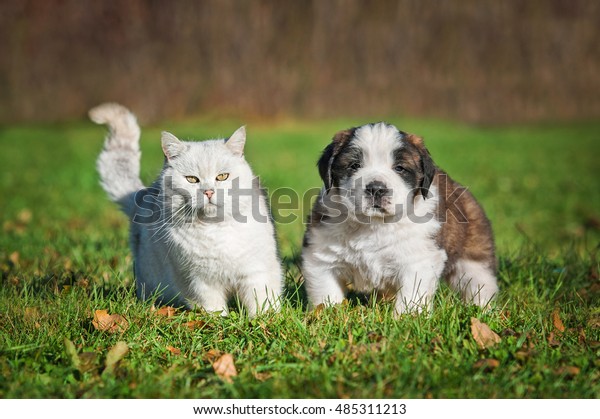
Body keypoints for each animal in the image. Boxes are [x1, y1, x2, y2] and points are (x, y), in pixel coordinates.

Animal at [90, 103, 282, 316]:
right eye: (192, 179)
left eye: (222, 176)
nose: (208, 191)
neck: (215, 230)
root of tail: (143, 195)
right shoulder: (199, 281)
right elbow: (214, 309)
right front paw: (220, 322)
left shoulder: (257, 272)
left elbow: (261, 302)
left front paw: (264, 319)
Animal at [302, 122, 500, 316]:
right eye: (354, 165)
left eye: (399, 168)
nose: (376, 188)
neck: (374, 225)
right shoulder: (321, 255)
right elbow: (326, 291)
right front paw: (328, 314)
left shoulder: (419, 259)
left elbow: (412, 296)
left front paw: (407, 319)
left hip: (473, 260)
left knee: (479, 284)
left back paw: (482, 309)